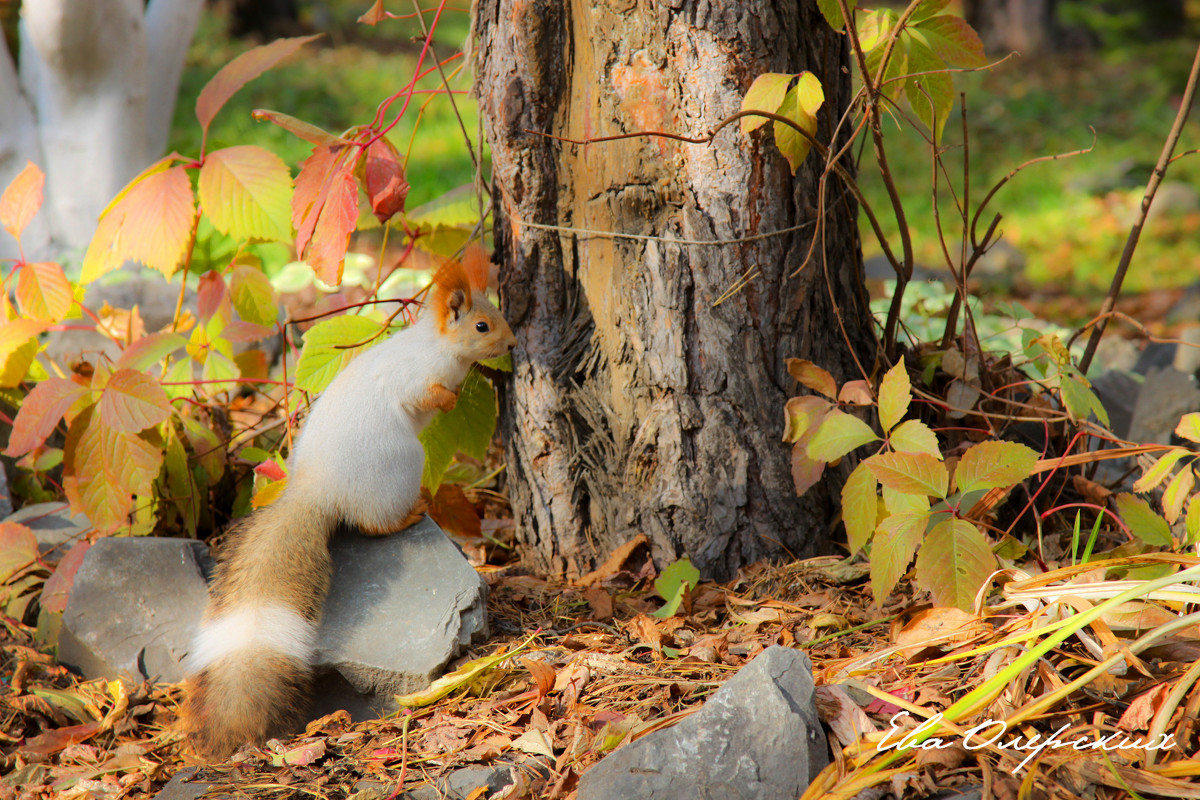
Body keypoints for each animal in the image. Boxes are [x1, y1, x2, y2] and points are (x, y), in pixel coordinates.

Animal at [183, 253, 516, 762]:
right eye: (482, 325)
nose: (513, 343)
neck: (439, 347)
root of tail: (319, 492)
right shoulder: (414, 378)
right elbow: (428, 395)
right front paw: (452, 397)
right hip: (402, 465)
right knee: (374, 525)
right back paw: (412, 511)